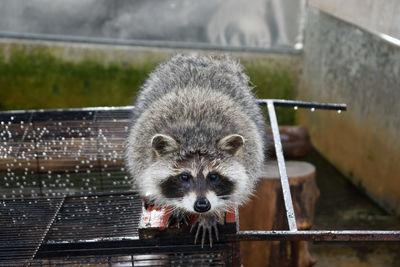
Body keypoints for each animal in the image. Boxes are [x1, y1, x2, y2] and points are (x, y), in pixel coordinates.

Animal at [125, 54, 268, 249]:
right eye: (184, 176)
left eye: (213, 176)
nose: (202, 206)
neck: (197, 137)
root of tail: (204, 58)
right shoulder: (140, 153)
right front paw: (178, 207)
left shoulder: (251, 157)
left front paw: (209, 216)